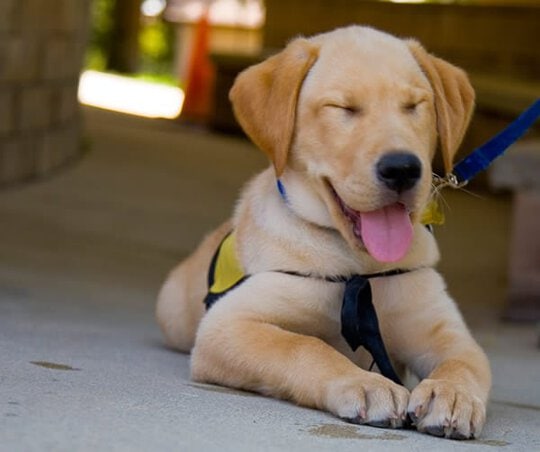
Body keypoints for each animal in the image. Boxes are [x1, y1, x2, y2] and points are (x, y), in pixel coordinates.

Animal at [156, 26, 490, 440]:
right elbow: (304, 346)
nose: (402, 168)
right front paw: (366, 384)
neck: (360, 268)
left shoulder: (444, 331)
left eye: (415, 105)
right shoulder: (229, 325)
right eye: (342, 108)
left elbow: (464, 363)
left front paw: (452, 395)